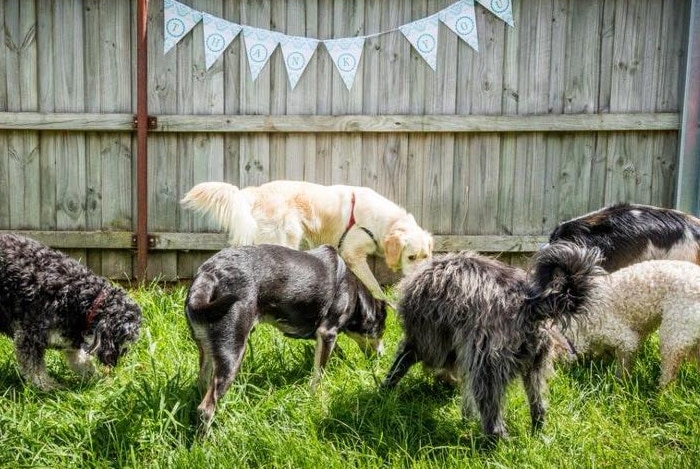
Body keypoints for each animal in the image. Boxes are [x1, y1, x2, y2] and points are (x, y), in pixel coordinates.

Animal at [0, 232, 142, 390]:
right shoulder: (28, 336)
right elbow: (35, 370)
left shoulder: (70, 342)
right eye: (125, 337)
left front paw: (100, 381)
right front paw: (48, 387)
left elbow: (83, 363)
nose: (123, 354)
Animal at [180, 179, 432, 296]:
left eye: (426, 256)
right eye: (411, 257)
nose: (421, 277)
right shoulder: (352, 254)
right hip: (286, 238)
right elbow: (374, 286)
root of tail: (253, 192)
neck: (384, 222)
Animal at [185, 243, 388, 430]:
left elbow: (333, 354)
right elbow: (319, 375)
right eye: (382, 330)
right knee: (206, 408)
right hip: (233, 351)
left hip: (208, 350)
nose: (382, 355)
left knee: (202, 383)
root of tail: (209, 273)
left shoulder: (319, 335)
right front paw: (315, 398)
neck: (354, 295)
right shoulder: (328, 332)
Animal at [380, 241, 604, 438]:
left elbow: (399, 365)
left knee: (494, 422)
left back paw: (489, 445)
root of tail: (528, 306)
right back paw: (538, 433)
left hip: (486, 370)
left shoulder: (422, 342)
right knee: (538, 407)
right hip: (534, 369)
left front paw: (384, 391)